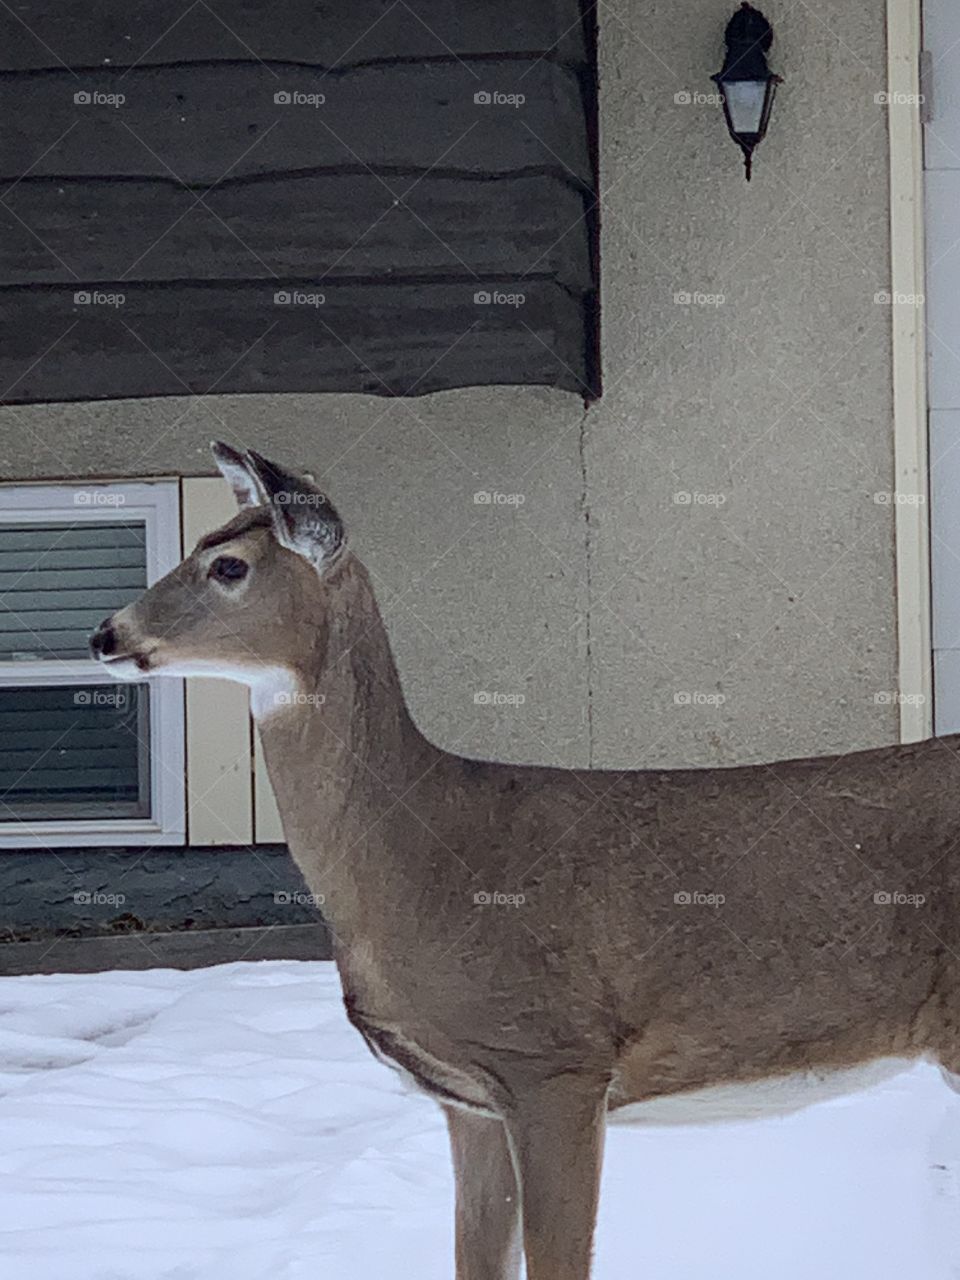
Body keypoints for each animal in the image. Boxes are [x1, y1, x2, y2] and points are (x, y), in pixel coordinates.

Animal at [89, 441, 960, 1280]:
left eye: (228, 566)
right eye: (199, 546)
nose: (106, 635)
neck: (418, 857)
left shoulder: (554, 1059)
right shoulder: (469, 1100)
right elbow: (478, 1260)